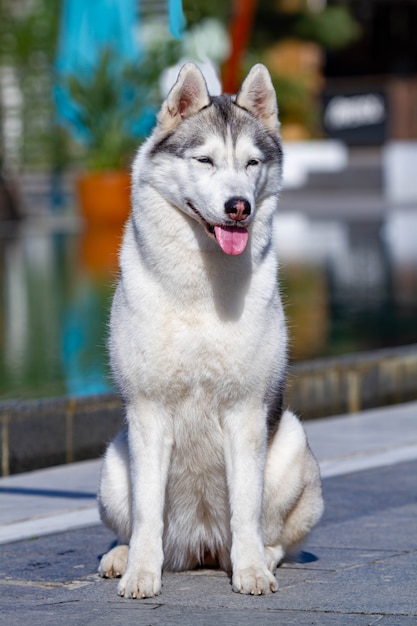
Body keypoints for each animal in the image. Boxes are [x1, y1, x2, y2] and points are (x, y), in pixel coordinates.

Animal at [96, 62, 322, 596]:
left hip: (293, 446)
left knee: (273, 535)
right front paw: (141, 572)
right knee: (134, 524)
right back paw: (121, 554)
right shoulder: (149, 412)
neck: (201, 291)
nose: (239, 206)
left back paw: (259, 556)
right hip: (114, 465)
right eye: (205, 161)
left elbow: (246, 510)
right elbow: (147, 512)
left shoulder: (244, 412)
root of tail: (199, 548)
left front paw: (252, 570)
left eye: (252, 163)